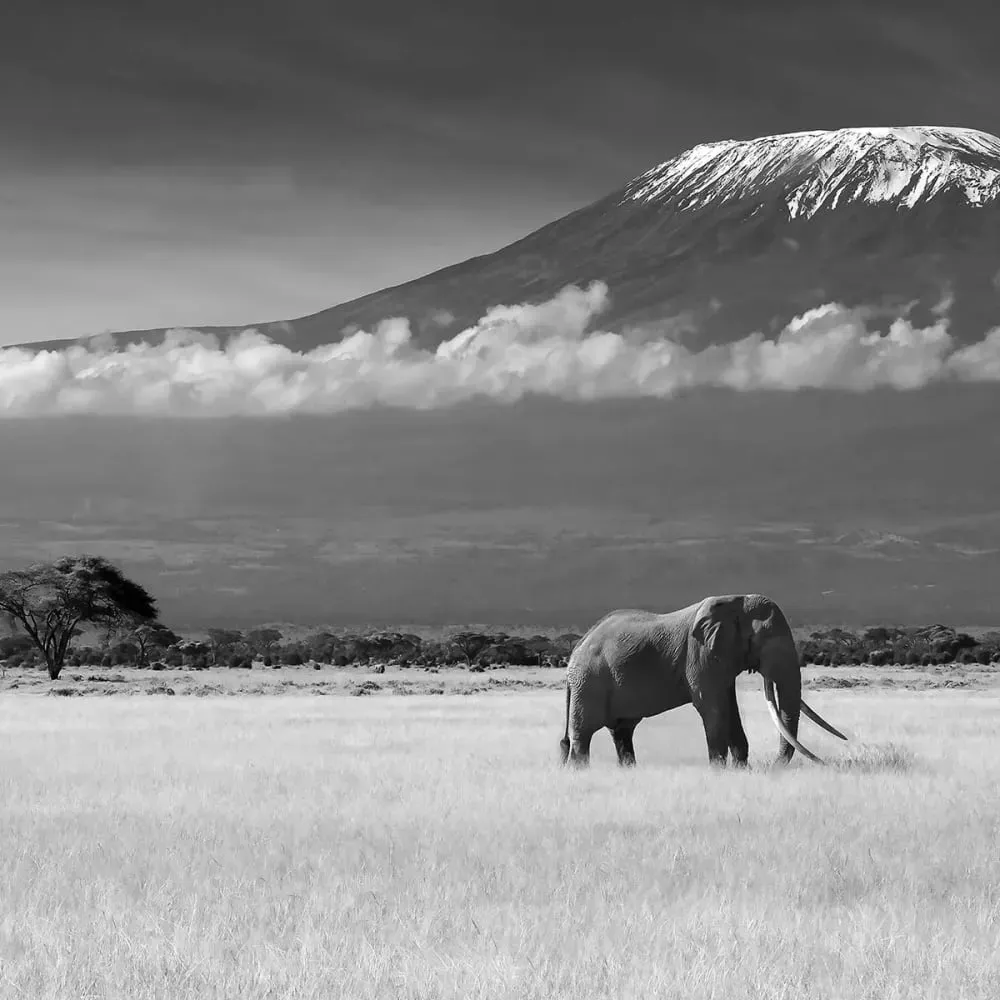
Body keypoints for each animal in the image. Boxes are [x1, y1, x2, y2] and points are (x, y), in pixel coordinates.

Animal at [558, 594, 846, 768]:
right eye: (765, 640)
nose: (774, 768)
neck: (735, 603)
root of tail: (576, 649)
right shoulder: (700, 654)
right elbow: (713, 707)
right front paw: (719, 770)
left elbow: (730, 708)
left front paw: (741, 770)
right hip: (589, 682)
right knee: (583, 735)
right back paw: (580, 770)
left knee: (622, 732)